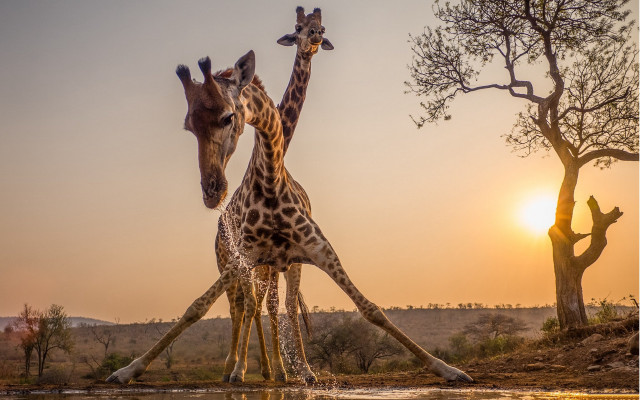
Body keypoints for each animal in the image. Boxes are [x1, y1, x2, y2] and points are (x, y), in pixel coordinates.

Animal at [106, 50, 473, 384]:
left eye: (227, 117)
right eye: (188, 126)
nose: (212, 191)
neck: (271, 179)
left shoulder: (318, 250)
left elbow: (370, 308)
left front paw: (448, 369)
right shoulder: (244, 257)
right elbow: (196, 307)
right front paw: (127, 370)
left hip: (283, 266)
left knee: (277, 307)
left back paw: (287, 371)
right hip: (240, 264)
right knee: (243, 307)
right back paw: (238, 370)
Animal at [220, 6, 334, 384]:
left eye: (321, 26)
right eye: (297, 27)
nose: (313, 37)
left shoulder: (283, 257)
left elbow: (280, 305)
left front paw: (297, 371)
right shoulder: (256, 257)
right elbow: (259, 305)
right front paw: (242, 370)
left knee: (256, 304)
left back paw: (272, 370)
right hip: (229, 262)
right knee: (240, 305)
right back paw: (234, 366)